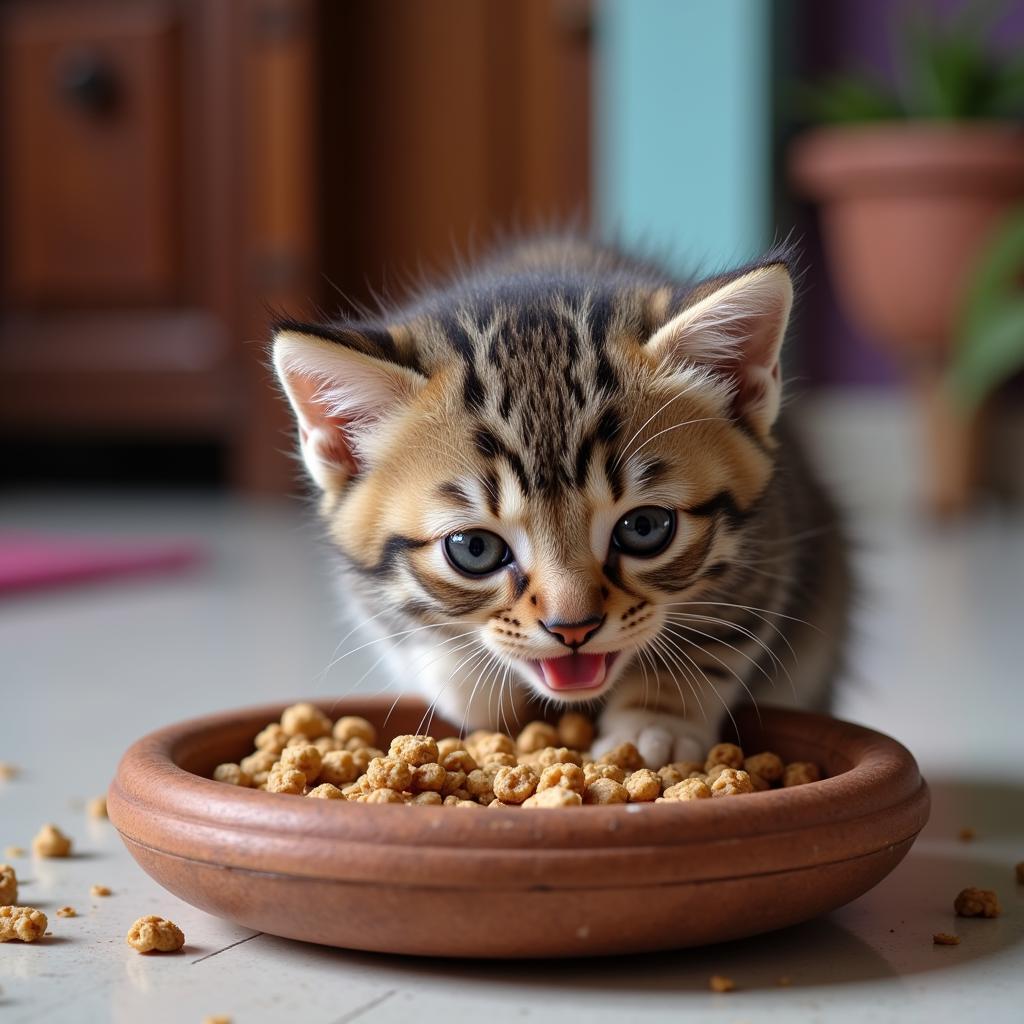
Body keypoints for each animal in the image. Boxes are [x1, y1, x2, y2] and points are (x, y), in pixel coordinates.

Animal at [272, 239, 847, 765]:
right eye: (474, 549)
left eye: (644, 527)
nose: (573, 629)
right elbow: (419, 639)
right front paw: (475, 690)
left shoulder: (772, 539)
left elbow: (718, 634)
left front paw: (656, 720)